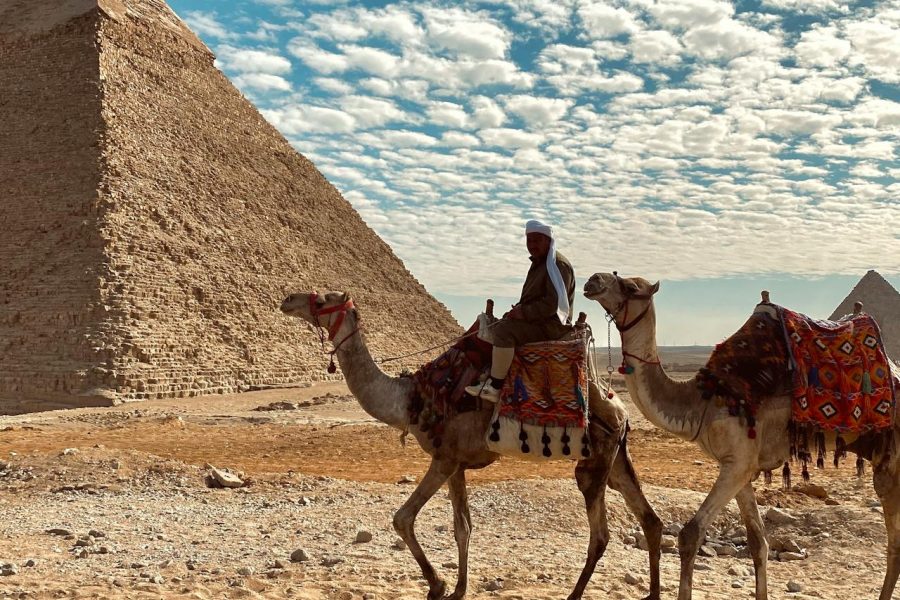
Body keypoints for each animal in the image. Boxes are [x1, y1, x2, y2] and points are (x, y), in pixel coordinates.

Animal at [280, 290, 663, 600]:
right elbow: (462, 527)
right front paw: (458, 588)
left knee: (600, 534)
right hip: (616, 456)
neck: (410, 399)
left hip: (595, 462)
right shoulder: (456, 463)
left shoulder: (443, 459)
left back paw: (574, 595)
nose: (287, 300)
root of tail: (617, 405)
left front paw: (437, 585)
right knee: (650, 519)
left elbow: (403, 518)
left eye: (321, 301)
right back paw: (653, 593)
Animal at [584, 272, 900, 600]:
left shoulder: (737, 463)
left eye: (631, 287)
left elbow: (690, 533)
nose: (593, 280)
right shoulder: (740, 467)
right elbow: (758, 541)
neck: (702, 399)